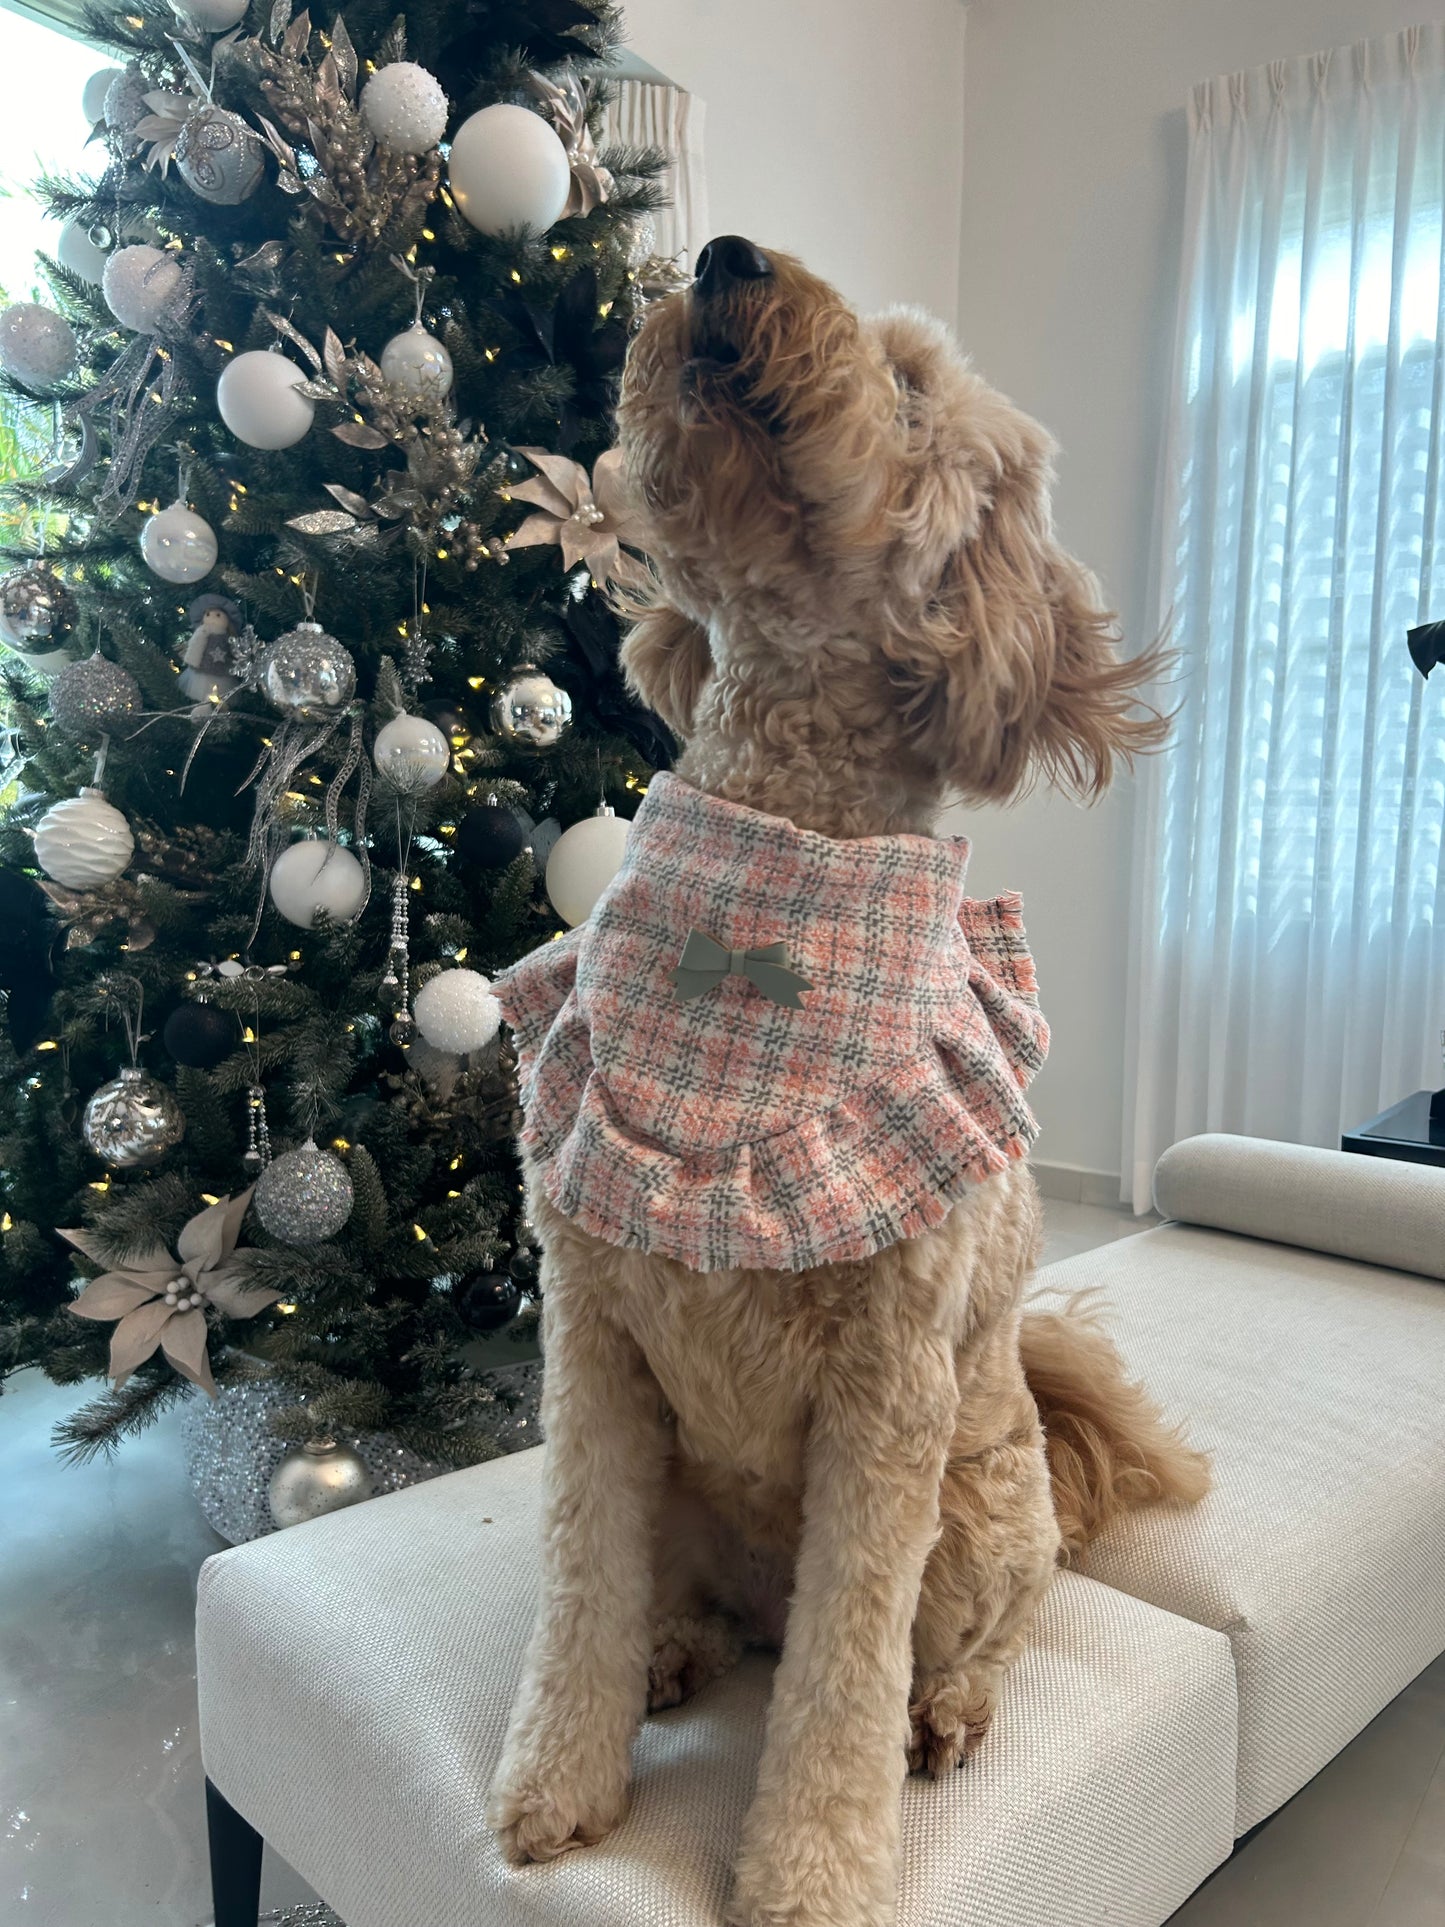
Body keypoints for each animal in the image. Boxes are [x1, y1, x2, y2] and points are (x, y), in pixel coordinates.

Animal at [487, 240, 1209, 1927]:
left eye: (911, 388)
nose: (726, 254)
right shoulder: (594, 1343)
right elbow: (578, 1580)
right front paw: (557, 1781)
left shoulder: (885, 1395)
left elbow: (840, 1679)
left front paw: (808, 1873)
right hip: (693, 1490)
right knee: (687, 1602)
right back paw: (673, 1646)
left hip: (980, 1506)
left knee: (985, 1623)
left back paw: (945, 1711)